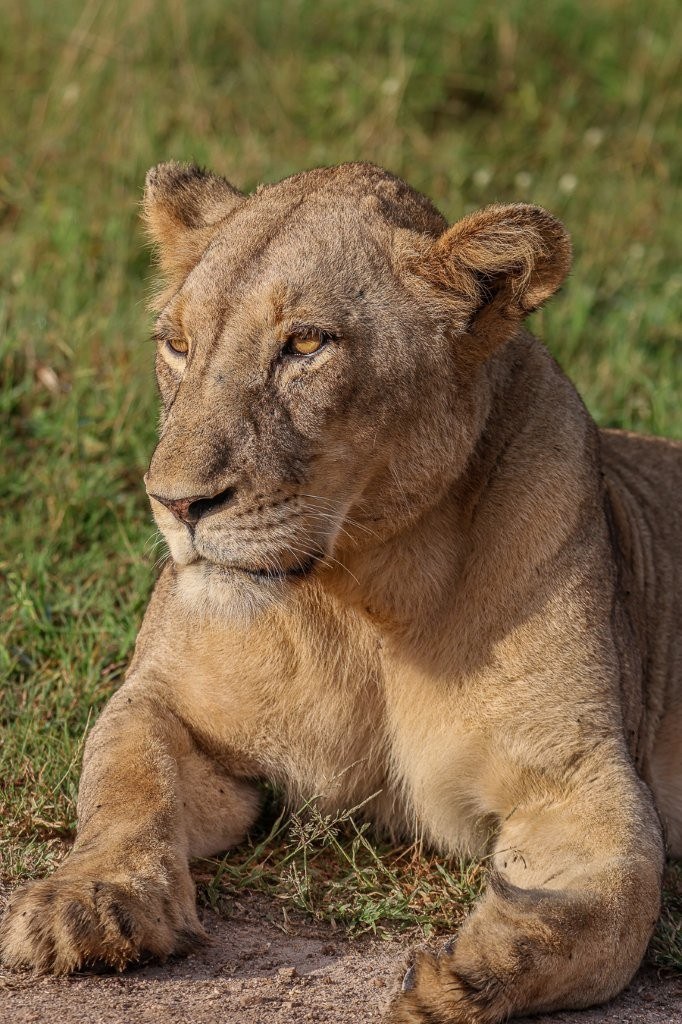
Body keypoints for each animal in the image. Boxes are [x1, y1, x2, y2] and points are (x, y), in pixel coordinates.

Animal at [1, 161, 681, 1024]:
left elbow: (610, 901)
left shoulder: (576, 769)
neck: (362, 592)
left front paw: (471, 971)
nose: (175, 503)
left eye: (306, 344)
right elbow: (124, 782)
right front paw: (85, 905)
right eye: (177, 345)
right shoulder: (166, 704)